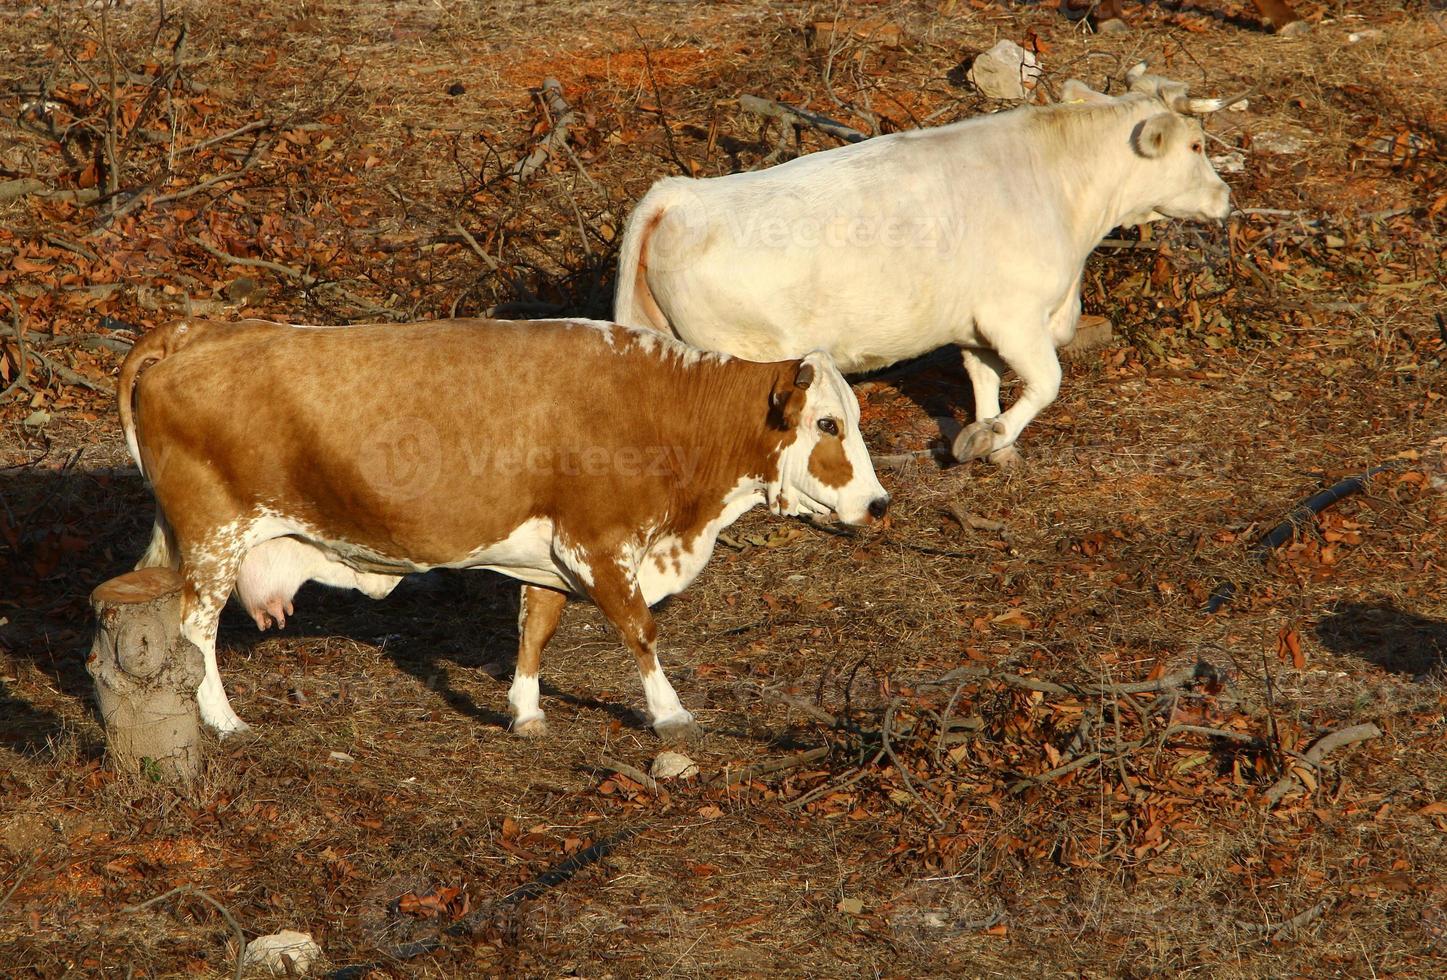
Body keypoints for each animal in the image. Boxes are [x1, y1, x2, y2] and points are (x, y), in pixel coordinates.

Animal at [121, 317, 891, 738]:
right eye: (828, 424)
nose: (879, 504)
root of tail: (197, 330)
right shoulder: (599, 541)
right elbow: (640, 630)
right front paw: (669, 713)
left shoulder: (551, 550)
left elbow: (535, 626)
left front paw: (524, 710)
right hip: (215, 537)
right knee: (195, 629)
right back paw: (222, 721)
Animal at [616, 62, 1238, 463]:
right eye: (1197, 146)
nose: (1224, 198)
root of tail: (679, 195)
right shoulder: (1015, 316)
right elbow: (1047, 383)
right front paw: (988, 438)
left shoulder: (976, 327)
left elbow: (985, 381)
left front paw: (993, 443)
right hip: (742, 351)